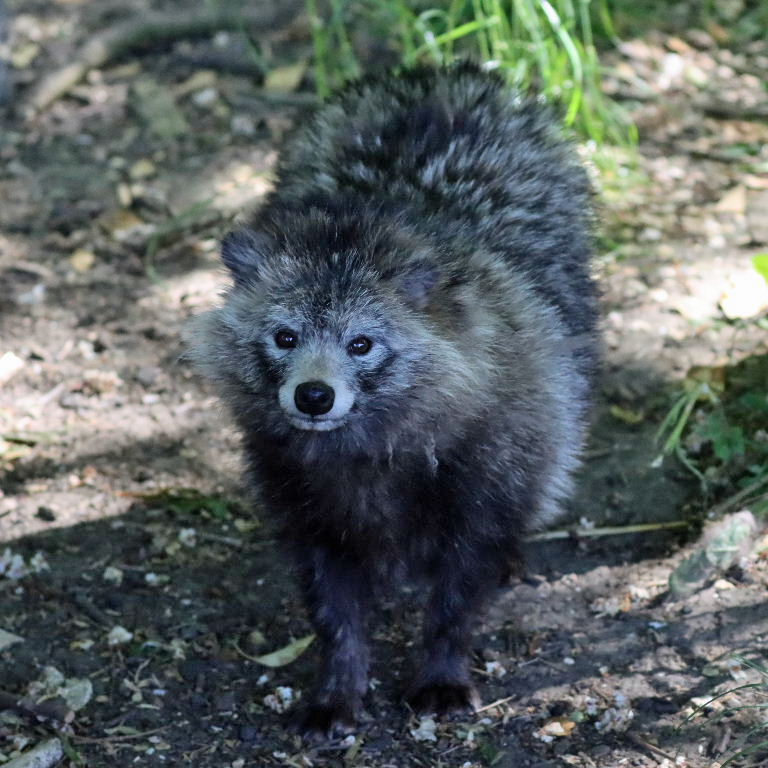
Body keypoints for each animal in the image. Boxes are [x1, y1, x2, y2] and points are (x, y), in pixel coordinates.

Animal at [189, 63, 599, 738]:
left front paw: (442, 666)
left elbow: (460, 590)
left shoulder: (487, 468)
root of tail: (435, 79)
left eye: (361, 343)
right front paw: (340, 683)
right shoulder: (300, 499)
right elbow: (332, 608)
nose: (314, 395)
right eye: (285, 336)